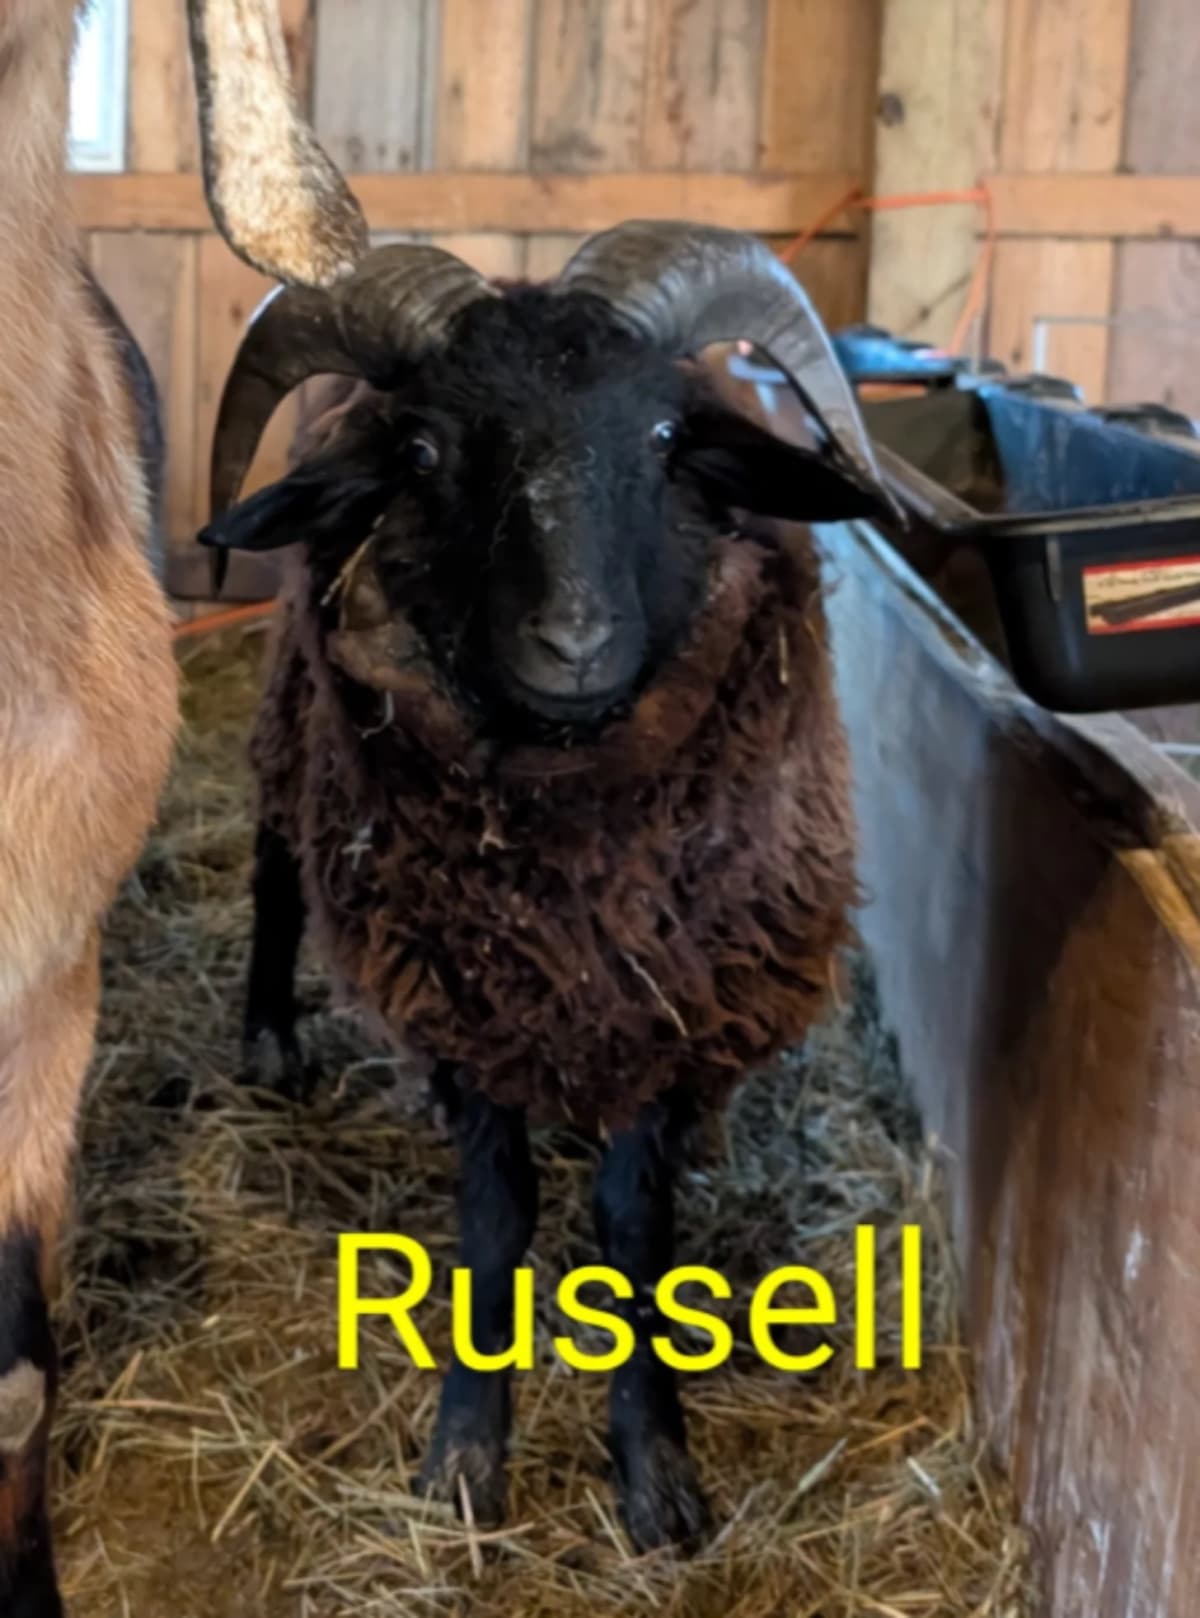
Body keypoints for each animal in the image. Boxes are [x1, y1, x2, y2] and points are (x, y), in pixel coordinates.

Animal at [189, 16, 894, 1553]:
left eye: (665, 439)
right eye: (428, 452)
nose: (570, 642)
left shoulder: (675, 998)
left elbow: (633, 1224)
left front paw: (657, 1471)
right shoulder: (465, 997)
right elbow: (497, 1211)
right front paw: (467, 1452)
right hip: (289, 712)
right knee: (274, 856)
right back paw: (267, 1032)